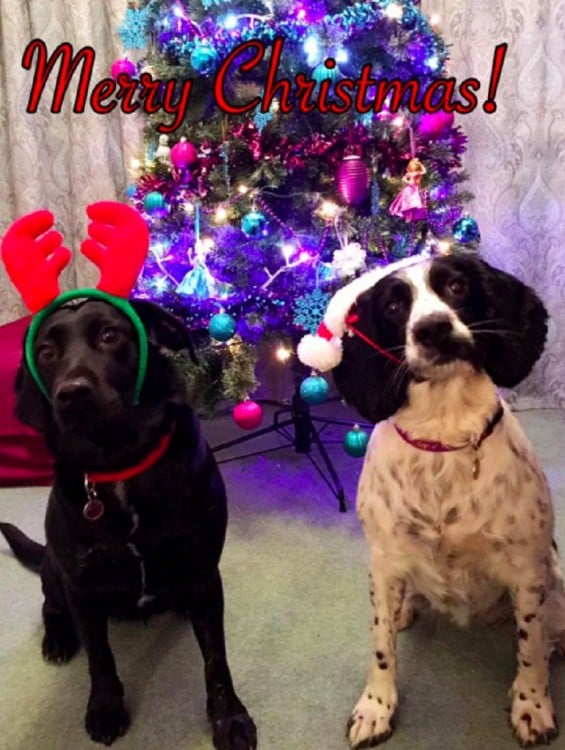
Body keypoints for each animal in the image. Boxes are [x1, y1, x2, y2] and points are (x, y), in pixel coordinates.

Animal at [0, 296, 256, 748]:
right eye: (46, 353)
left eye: (110, 335)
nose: (72, 394)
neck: (119, 464)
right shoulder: (81, 585)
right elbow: (100, 657)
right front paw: (105, 708)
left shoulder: (204, 573)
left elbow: (215, 660)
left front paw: (230, 718)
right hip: (54, 567)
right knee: (50, 605)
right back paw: (58, 637)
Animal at [298, 256, 560, 748]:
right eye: (394, 306)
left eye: (457, 286)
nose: (433, 329)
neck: (443, 435)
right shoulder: (384, 562)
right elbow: (381, 645)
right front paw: (375, 707)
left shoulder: (527, 568)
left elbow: (531, 644)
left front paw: (531, 703)